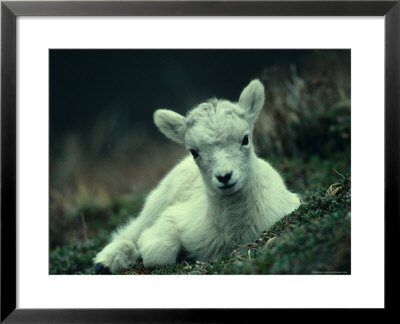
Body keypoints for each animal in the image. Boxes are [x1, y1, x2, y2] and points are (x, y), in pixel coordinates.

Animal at [94, 78, 300, 274]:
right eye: (194, 151)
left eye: (245, 139)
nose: (224, 177)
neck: (233, 231)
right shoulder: (172, 218)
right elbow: (156, 252)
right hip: (157, 203)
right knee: (132, 232)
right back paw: (104, 263)